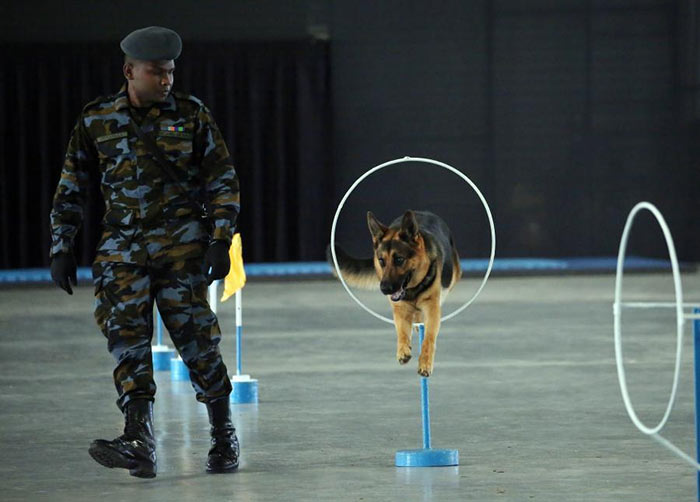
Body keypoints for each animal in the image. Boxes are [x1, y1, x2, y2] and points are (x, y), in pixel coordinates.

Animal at [330, 209, 462, 376]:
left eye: (399, 259)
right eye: (381, 261)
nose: (384, 289)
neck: (413, 289)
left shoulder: (432, 309)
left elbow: (429, 339)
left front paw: (425, 362)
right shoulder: (400, 310)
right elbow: (402, 332)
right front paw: (403, 350)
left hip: (454, 276)